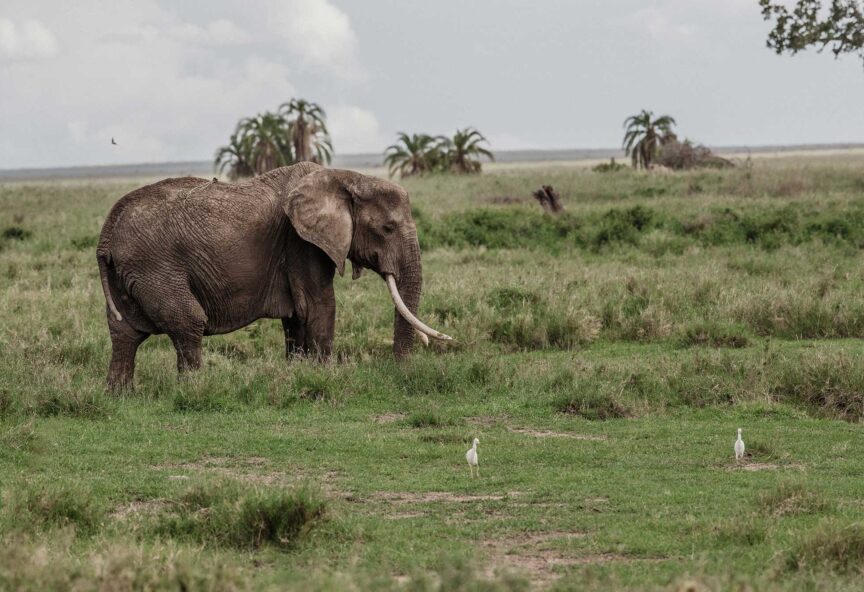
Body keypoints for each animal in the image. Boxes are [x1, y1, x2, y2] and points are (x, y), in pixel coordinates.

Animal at [96, 163, 452, 394]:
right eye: (387, 228)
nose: (401, 370)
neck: (345, 177)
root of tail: (107, 229)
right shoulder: (301, 242)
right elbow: (319, 306)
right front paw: (326, 378)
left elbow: (297, 316)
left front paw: (300, 374)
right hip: (154, 266)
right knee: (188, 322)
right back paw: (194, 390)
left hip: (129, 271)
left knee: (125, 333)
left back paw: (120, 397)